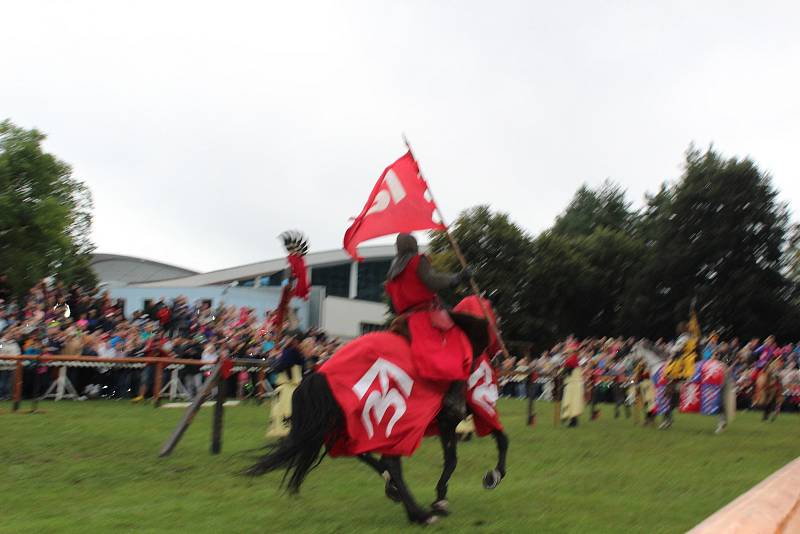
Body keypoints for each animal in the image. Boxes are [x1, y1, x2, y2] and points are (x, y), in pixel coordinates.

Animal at [247, 312, 510, 524]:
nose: (504, 358)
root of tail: (320, 374)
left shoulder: (449, 421)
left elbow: (456, 457)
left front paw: (441, 499)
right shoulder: (460, 414)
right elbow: (495, 441)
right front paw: (492, 476)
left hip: (348, 422)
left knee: (364, 453)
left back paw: (400, 494)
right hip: (390, 418)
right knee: (389, 460)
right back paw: (419, 515)